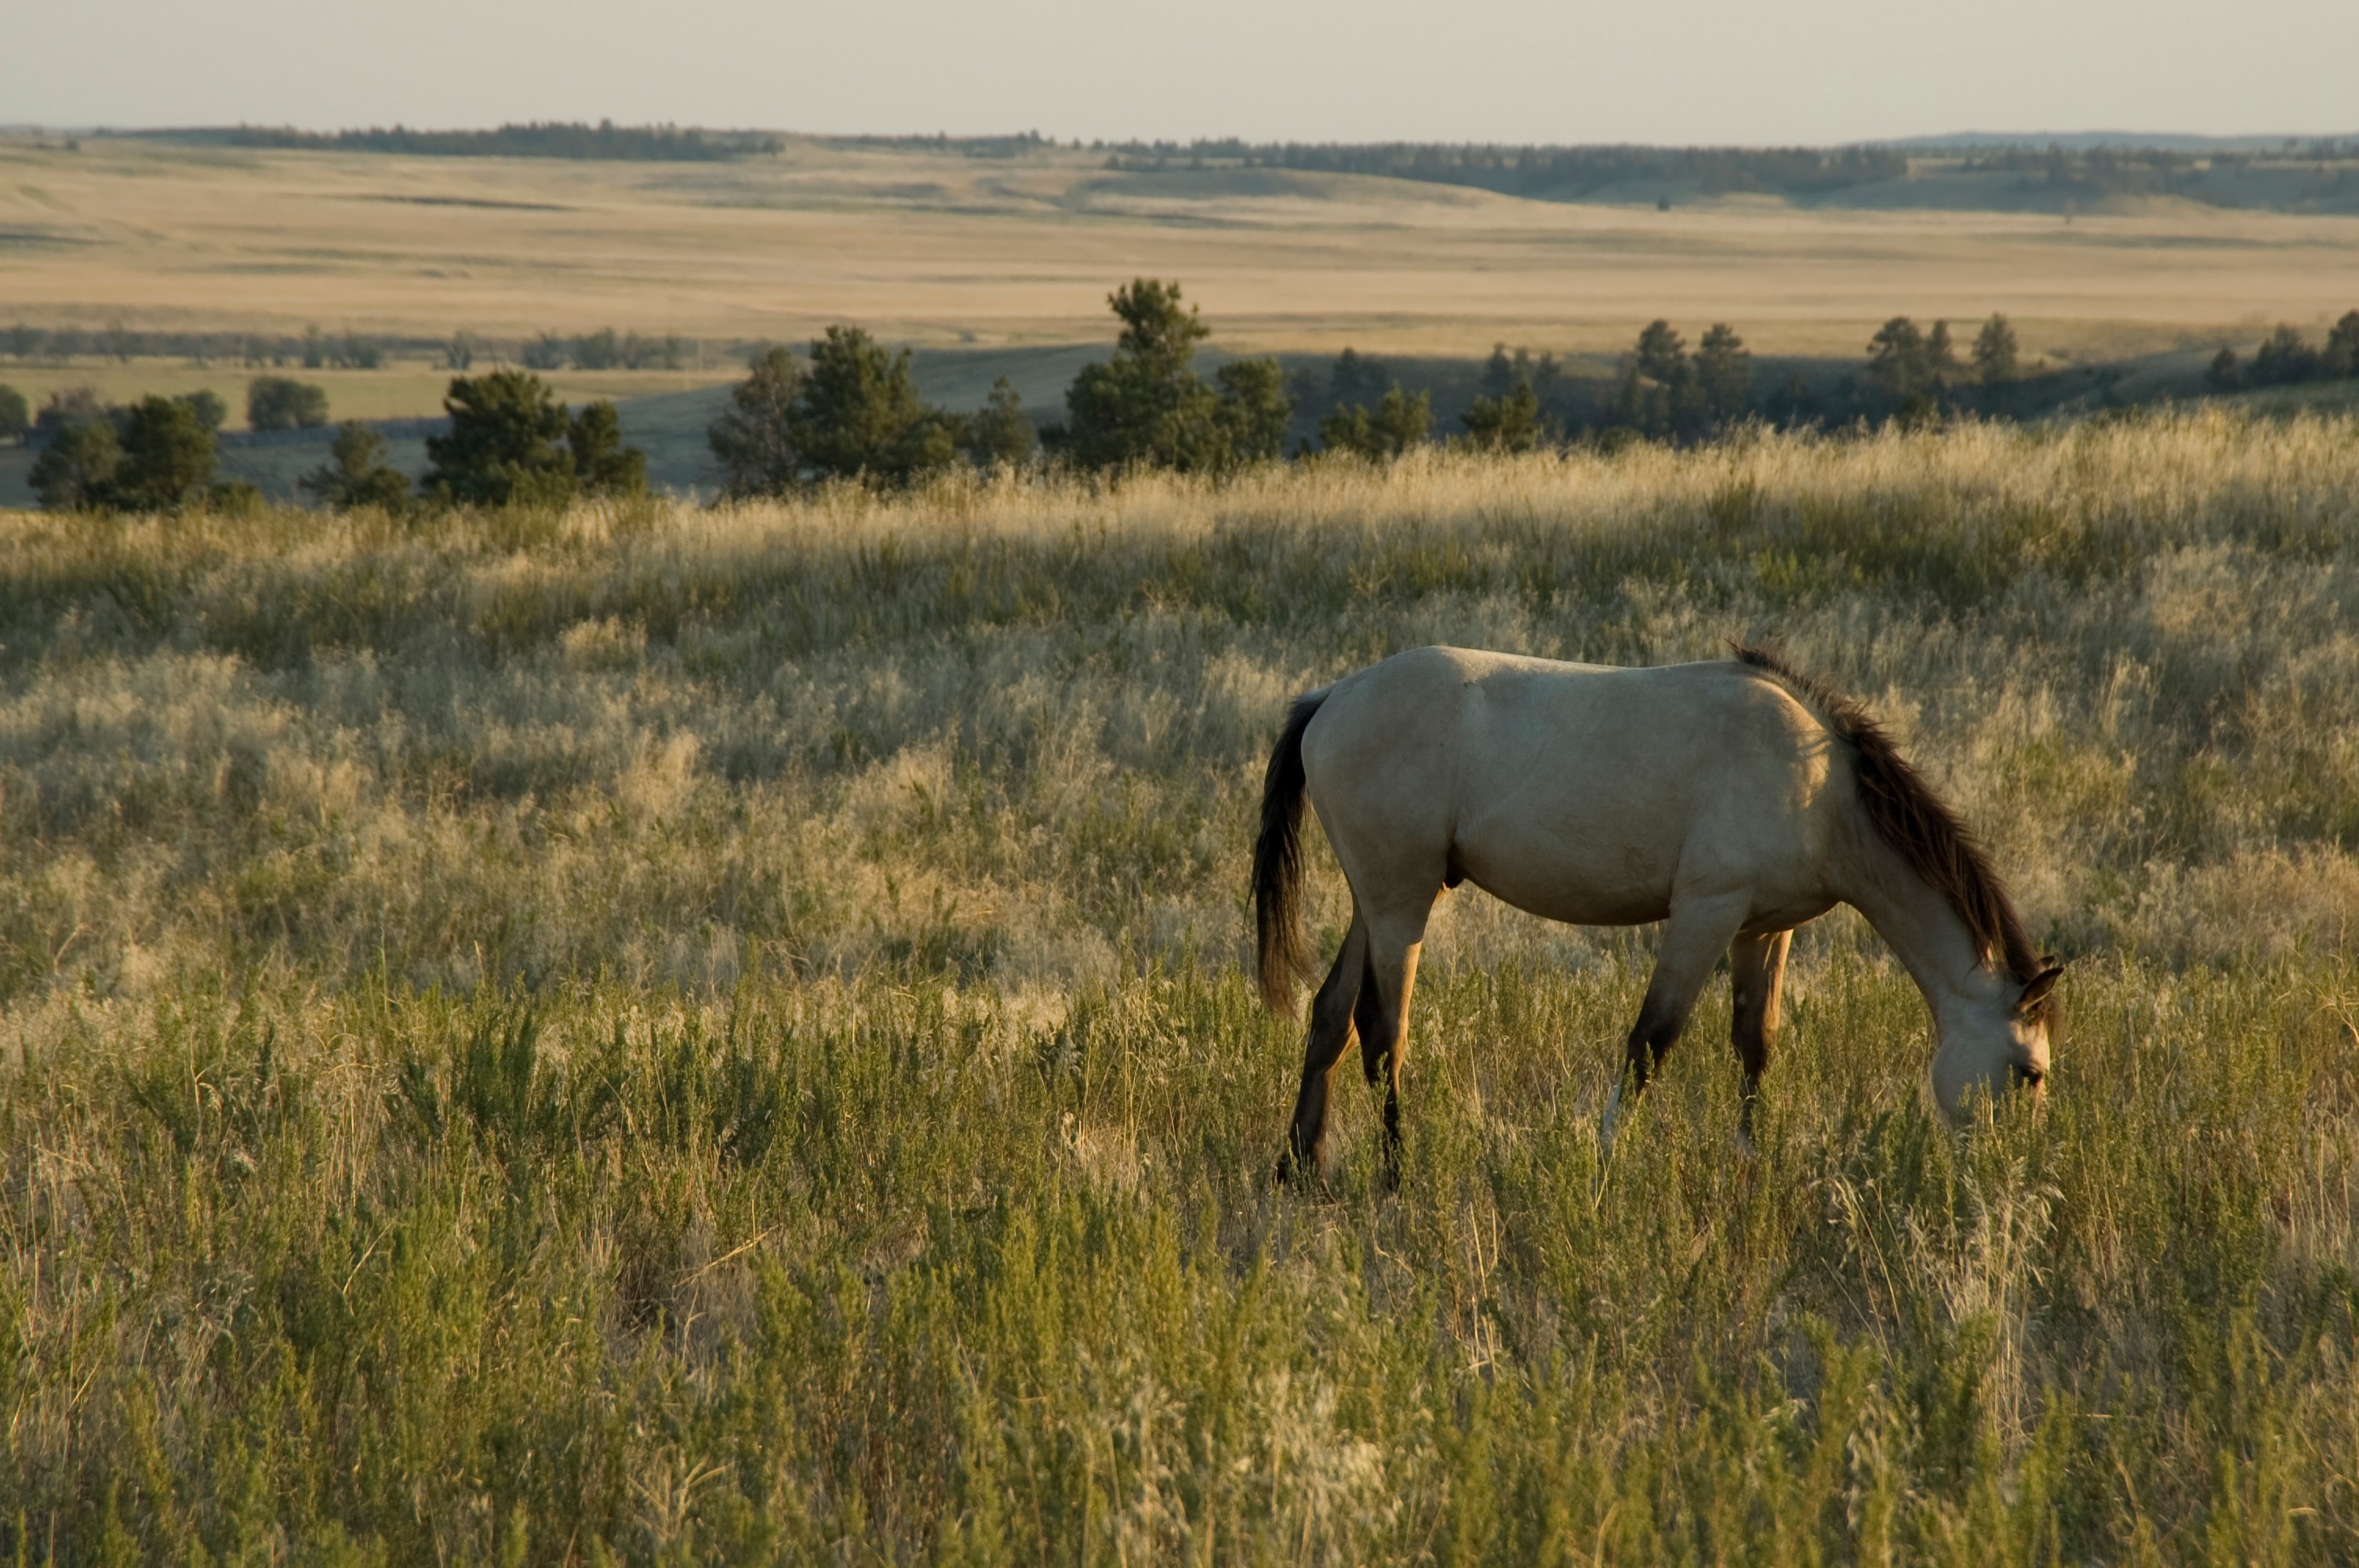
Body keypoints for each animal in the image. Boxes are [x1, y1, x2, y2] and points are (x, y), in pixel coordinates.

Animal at [1255, 641, 2066, 1178]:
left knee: (1330, 1017)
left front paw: (1748, 1159)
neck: (1821, 786)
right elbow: (1652, 1040)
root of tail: (1332, 698)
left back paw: (1300, 1166)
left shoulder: (1767, 929)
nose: (2012, 1176)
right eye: (2030, 1074)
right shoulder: (1706, 912)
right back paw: (1396, 1173)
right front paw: (1606, 1155)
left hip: (1374, 900)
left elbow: (1755, 1041)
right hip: (1403, 902)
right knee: (1382, 1030)